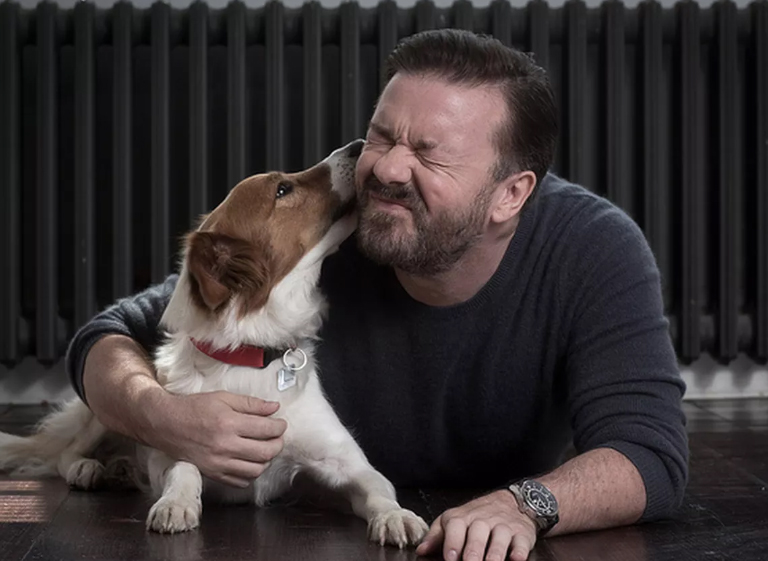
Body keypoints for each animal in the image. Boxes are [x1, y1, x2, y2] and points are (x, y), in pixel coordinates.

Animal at [0, 140, 432, 548]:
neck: (253, 355)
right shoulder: (177, 447)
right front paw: (177, 503)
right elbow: (184, 467)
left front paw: (396, 516)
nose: (359, 145)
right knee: (64, 452)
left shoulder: (347, 462)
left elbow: (378, 488)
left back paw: (118, 468)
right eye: (282, 189)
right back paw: (89, 468)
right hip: (106, 406)